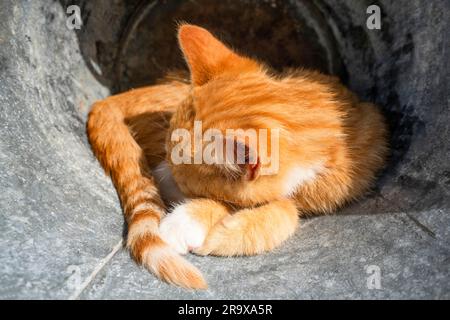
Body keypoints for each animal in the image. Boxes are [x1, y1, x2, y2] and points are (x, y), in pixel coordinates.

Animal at [87, 25, 386, 290]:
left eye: (185, 183)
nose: (160, 180)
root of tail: (107, 100)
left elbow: (284, 210)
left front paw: (196, 224)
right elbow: (279, 208)